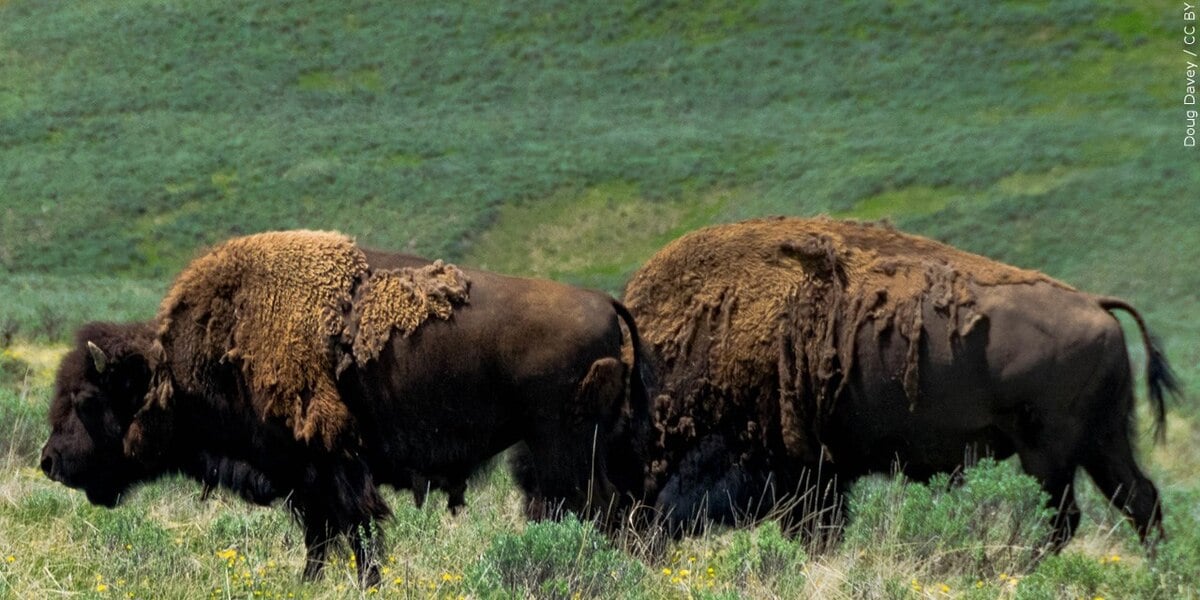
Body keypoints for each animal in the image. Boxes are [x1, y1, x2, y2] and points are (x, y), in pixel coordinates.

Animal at [41, 232, 650, 586]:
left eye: (88, 400)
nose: (49, 461)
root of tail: (605, 302)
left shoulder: (329, 467)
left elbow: (354, 533)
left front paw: (362, 584)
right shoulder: (310, 480)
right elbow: (324, 539)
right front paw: (311, 583)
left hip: (567, 451)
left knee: (603, 511)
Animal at [624, 217, 1178, 550]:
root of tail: (1097, 305)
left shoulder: (791, 470)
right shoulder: (821, 476)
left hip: (1049, 453)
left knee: (1065, 518)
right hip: (1102, 442)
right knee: (1140, 500)